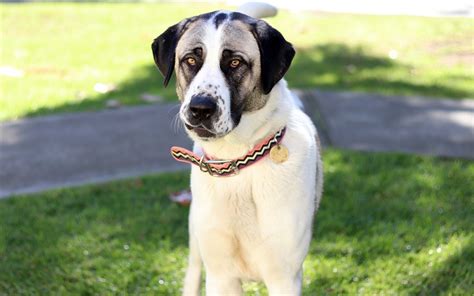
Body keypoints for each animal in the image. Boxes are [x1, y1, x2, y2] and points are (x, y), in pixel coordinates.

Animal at [152, 8, 322, 294]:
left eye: (234, 63)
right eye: (190, 60)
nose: (200, 108)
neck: (237, 161)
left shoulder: (284, 277)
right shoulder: (221, 275)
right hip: (196, 233)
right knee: (193, 269)